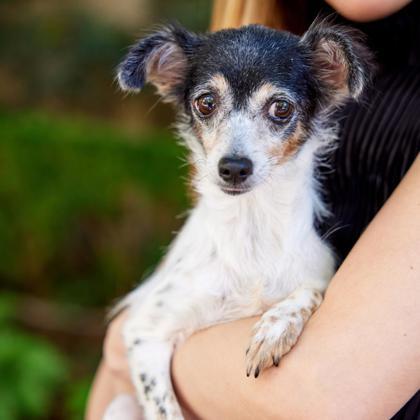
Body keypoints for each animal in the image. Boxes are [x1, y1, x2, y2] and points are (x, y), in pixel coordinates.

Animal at [114, 19, 370, 420]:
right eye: (205, 102)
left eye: (281, 107)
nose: (234, 167)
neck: (252, 228)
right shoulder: (144, 332)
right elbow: (165, 409)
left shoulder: (318, 270)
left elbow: (309, 290)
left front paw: (274, 328)